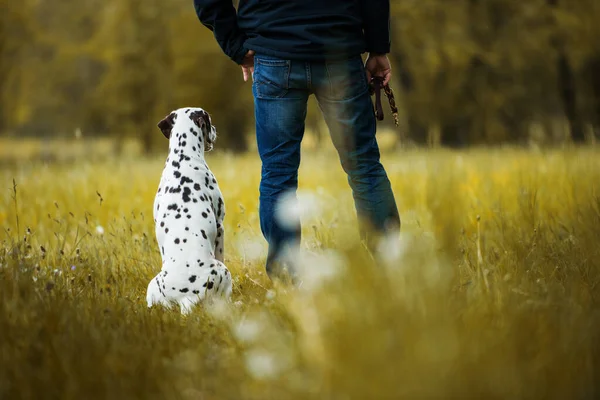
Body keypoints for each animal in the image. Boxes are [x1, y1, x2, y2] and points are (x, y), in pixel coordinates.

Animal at [146, 108, 232, 314]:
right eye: (210, 121)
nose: (215, 129)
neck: (182, 159)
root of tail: (185, 298)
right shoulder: (220, 227)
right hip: (224, 271)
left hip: (152, 286)